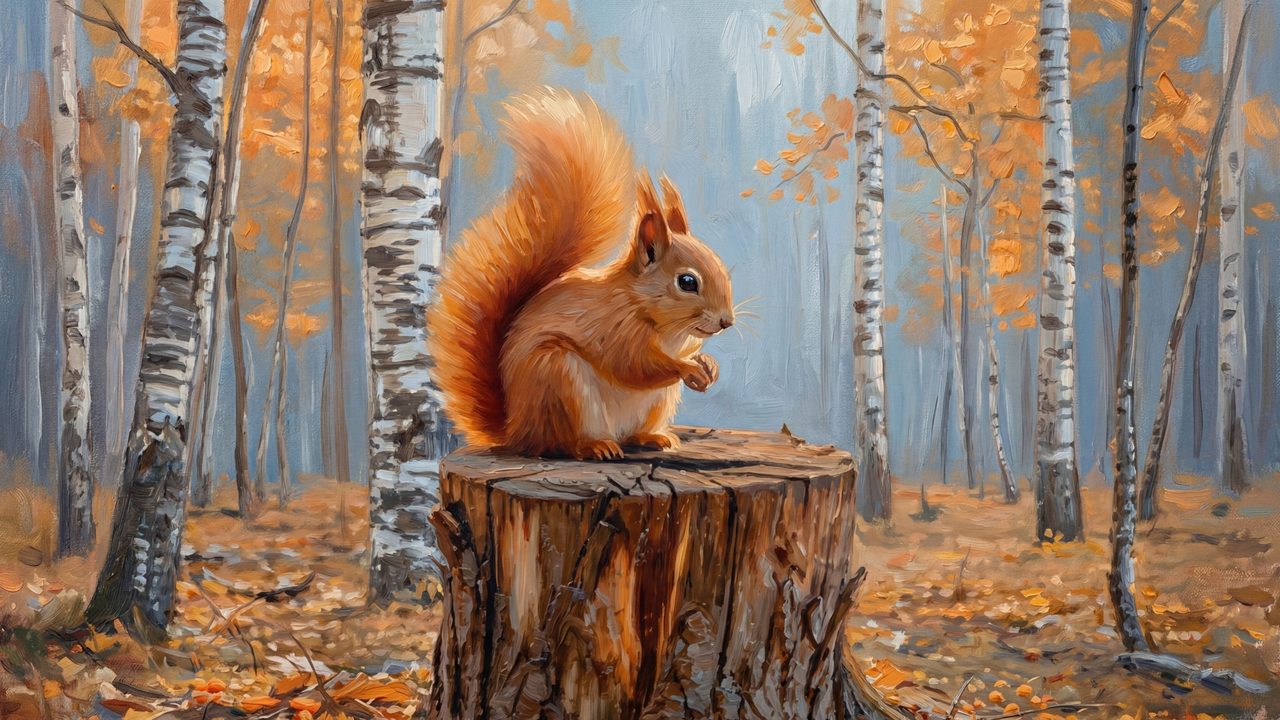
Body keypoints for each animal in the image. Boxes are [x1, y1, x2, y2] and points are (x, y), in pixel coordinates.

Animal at [429, 88, 736, 460]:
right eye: (687, 282)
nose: (727, 321)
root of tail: (516, 431)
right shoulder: (613, 328)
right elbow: (635, 365)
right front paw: (688, 368)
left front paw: (708, 365)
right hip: (557, 379)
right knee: (562, 443)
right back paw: (594, 445)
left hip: (656, 402)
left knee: (630, 433)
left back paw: (652, 437)